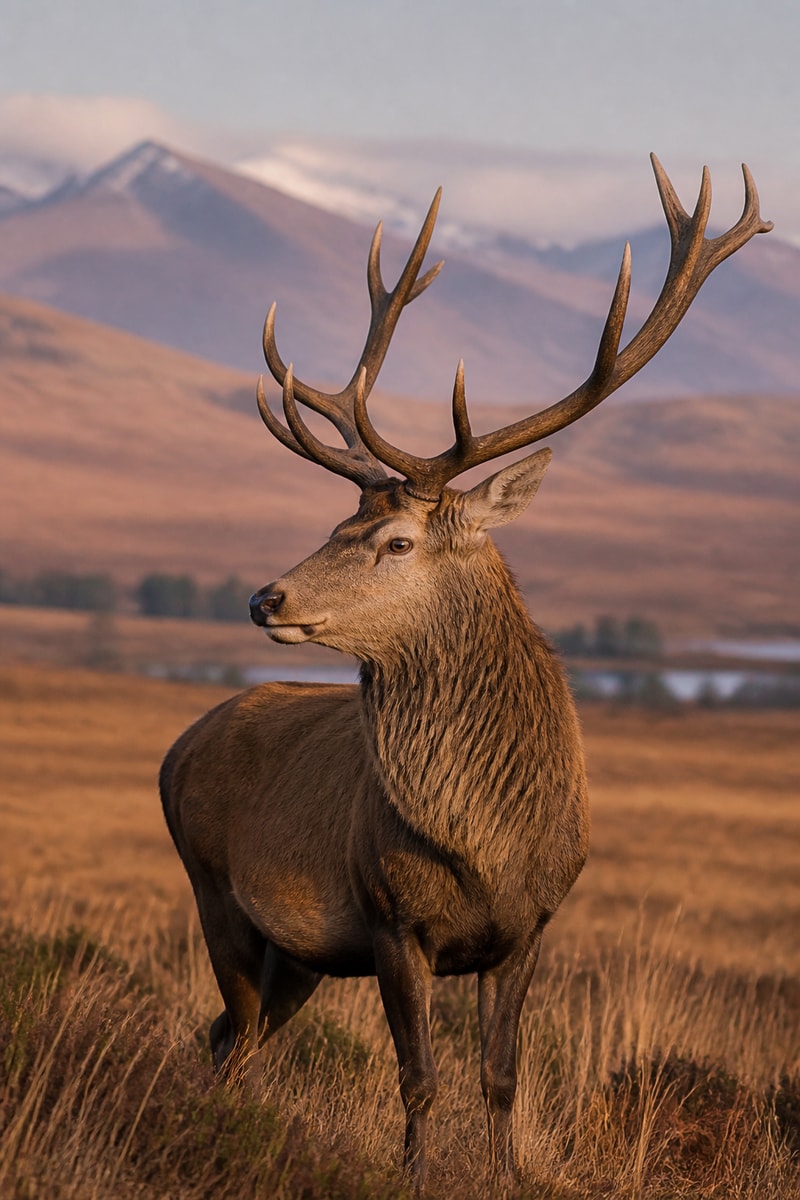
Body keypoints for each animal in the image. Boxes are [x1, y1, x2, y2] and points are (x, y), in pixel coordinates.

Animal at [159, 155, 770, 1192]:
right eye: (337, 525)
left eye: (395, 541)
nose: (263, 599)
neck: (487, 844)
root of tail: (175, 748)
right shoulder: (389, 919)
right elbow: (419, 1079)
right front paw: (409, 1176)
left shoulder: (531, 926)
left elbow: (499, 1078)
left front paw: (508, 1175)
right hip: (215, 893)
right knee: (229, 1036)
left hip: (297, 956)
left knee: (228, 1039)